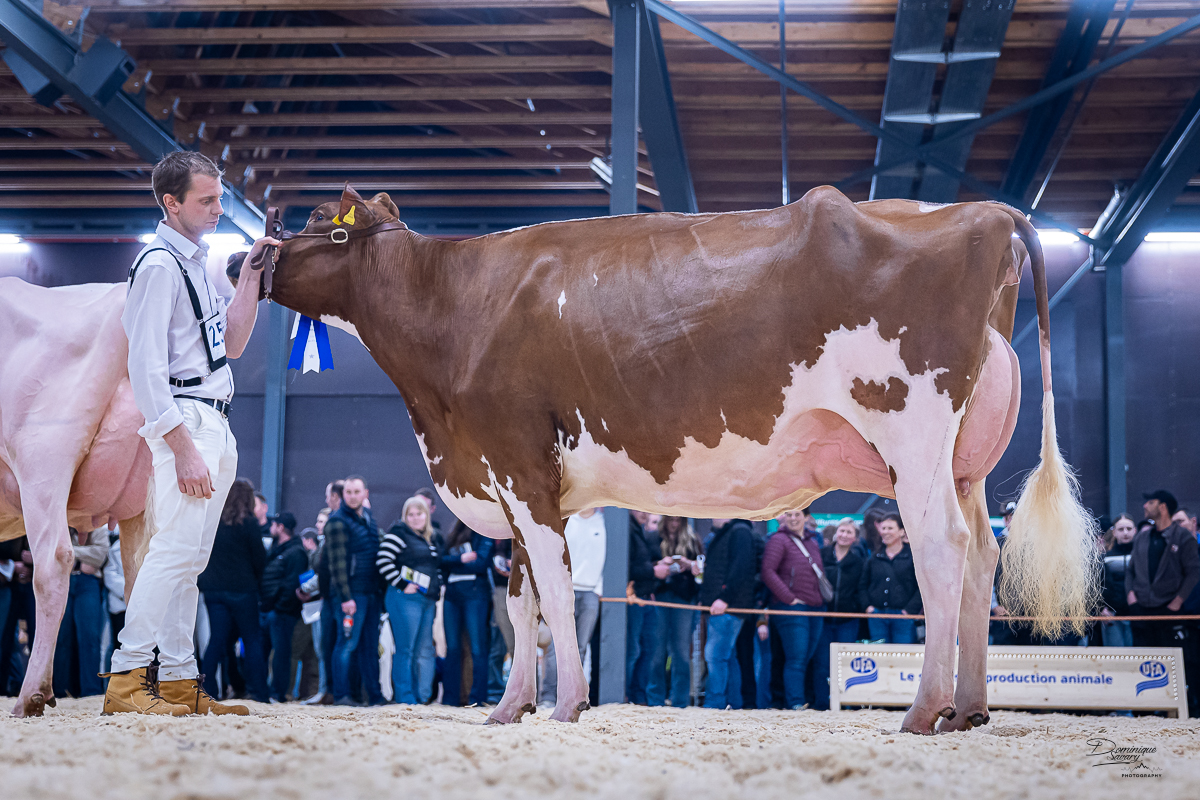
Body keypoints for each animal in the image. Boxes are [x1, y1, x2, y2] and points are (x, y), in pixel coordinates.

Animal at [259, 184, 1098, 734]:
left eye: (318, 222)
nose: (254, 260)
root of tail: (981, 211)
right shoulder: (517, 485)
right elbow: (522, 601)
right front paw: (508, 707)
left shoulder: (519, 465)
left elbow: (556, 597)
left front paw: (567, 705)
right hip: (963, 461)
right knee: (982, 553)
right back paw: (971, 709)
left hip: (913, 432)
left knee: (941, 549)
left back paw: (925, 710)